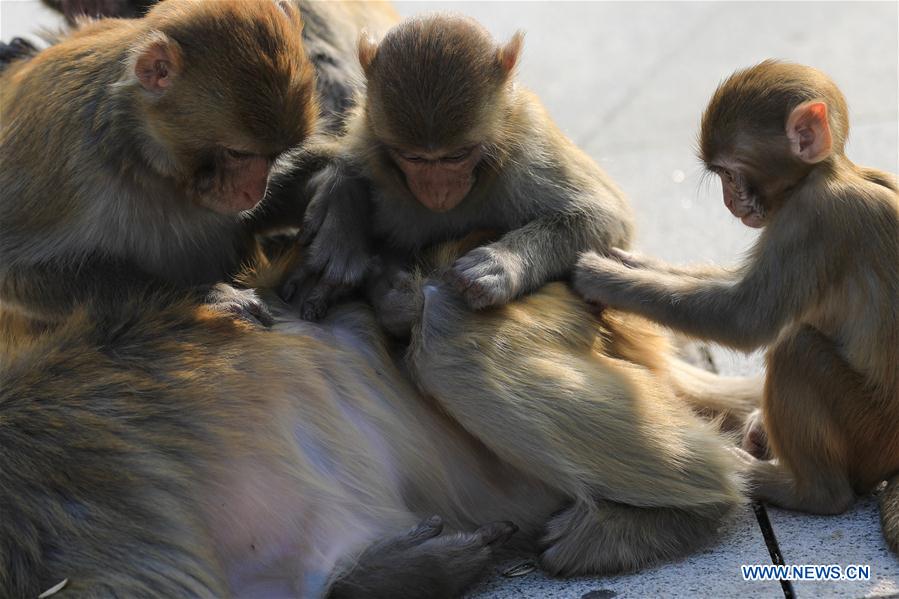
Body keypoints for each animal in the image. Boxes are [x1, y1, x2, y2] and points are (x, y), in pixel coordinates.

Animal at [284, 14, 635, 320]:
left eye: (456, 156)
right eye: (414, 158)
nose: (438, 192)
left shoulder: (530, 143)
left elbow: (606, 217)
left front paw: (501, 264)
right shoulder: (369, 139)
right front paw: (342, 223)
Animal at [572, 60, 899, 550]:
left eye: (729, 173)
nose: (730, 201)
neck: (831, 172)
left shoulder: (812, 218)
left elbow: (746, 319)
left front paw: (605, 279)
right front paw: (635, 264)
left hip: (869, 435)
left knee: (796, 348)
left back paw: (809, 491)